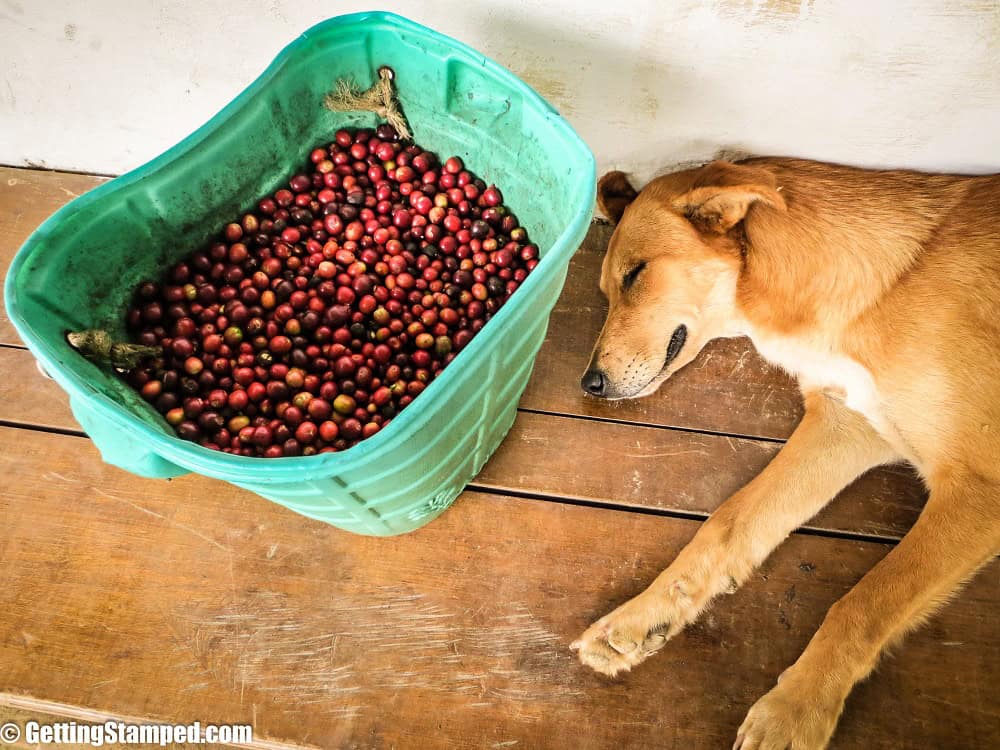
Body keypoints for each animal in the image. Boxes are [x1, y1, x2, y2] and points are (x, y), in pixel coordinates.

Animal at [572, 160, 1000, 750]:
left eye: (635, 275)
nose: (588, 385)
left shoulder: (978, 488)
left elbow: (864, 601)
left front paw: (795, 710)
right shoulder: (846, 425)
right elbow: (728, 524)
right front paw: (640, 618)